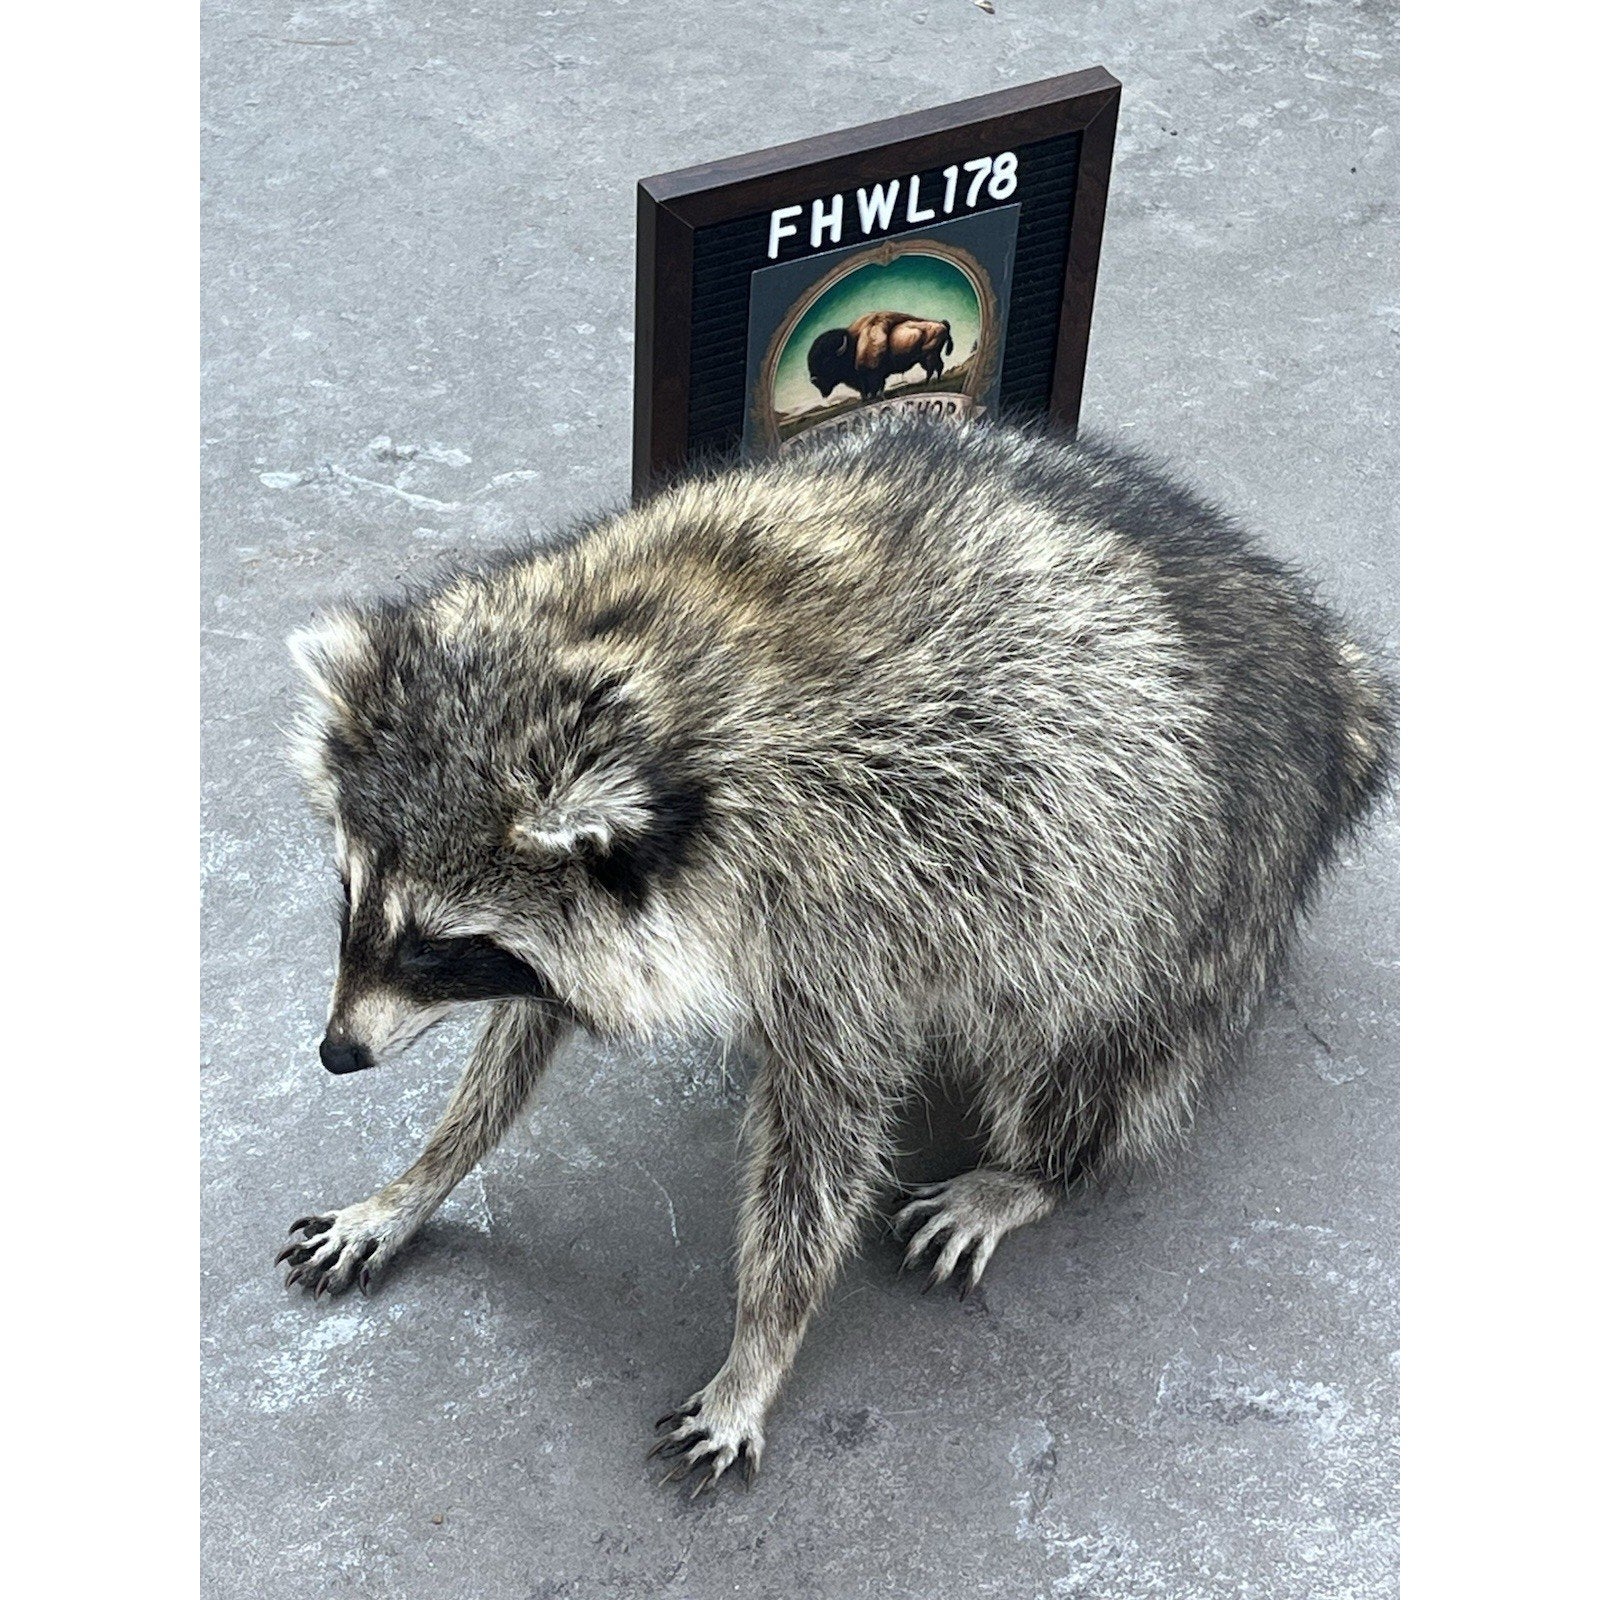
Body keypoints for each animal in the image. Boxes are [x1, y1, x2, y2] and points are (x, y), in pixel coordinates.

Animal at [278, 414, 1395, 1495]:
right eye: (351, 896)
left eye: (437, 945)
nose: (337, 1053)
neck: (625, 652)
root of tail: (1321, 667)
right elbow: (526, 1032)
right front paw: (419, 1177)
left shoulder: (842, 900)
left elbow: (826, 1136)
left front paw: (760, 1346)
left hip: (1177, 890)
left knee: (1081, 1043)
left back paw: (1034, 1168)